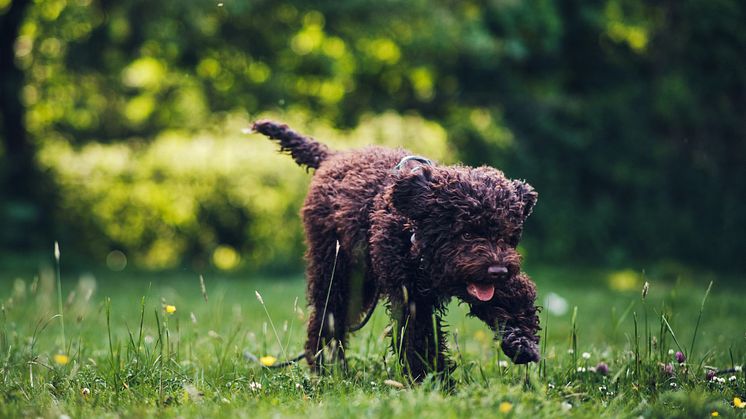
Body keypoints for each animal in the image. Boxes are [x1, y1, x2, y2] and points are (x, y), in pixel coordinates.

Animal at [253, 119, 536, 380]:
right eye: (466, 233)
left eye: (506, 237)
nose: (498, 271)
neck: (414, 233)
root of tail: (331, 157)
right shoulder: (412, 298)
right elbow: (420, 341)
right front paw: (433, 382)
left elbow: (517, 299)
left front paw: (520, 342)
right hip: (336, 271)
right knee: (328, 315)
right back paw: (329, 368)